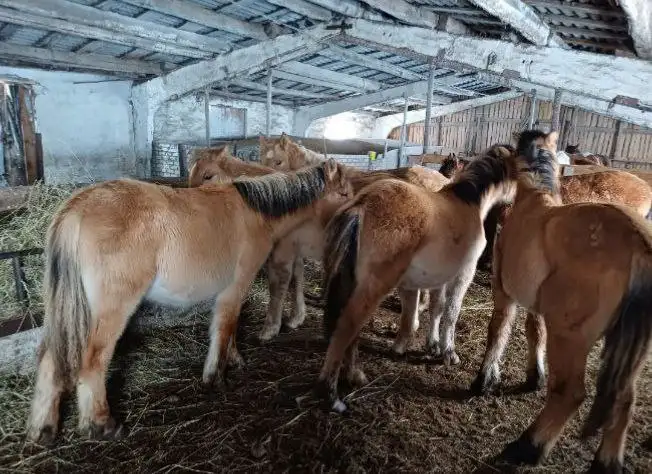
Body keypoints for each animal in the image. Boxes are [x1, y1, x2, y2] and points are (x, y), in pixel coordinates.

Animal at [27, 159, 352, 444]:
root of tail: (78, 206)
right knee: (93, 360)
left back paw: (42, 431)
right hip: (111, 309)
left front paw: (235, 360)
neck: (256, 213)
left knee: (49, 357)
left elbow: (230, 329)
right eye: (344, 193)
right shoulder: (235, 287)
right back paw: (103, 425)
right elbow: (224, 328)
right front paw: (216, 377)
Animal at [317, 143, 520, 412]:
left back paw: (355, 376)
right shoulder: (463, 275)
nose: (515, 204)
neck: (467, 204)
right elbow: (451, 313)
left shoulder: (438, 278)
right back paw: (332, 396)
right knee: (347, 326)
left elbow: (435, 309)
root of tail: (361, 205)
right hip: (375, 285)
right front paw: (448, 353)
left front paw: (431, 345)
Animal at [471, 134, 652, 473]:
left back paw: (526, 447)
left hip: (571, 337)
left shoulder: (504, 290)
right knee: (624, 400)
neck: (533, 200)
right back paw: (606, 463)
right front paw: (534, 376)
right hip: (631, 349)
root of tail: (639, 244)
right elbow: (534, 331)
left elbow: (498, 329)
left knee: (570, 394)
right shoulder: (538, 304)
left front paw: (485, 378)